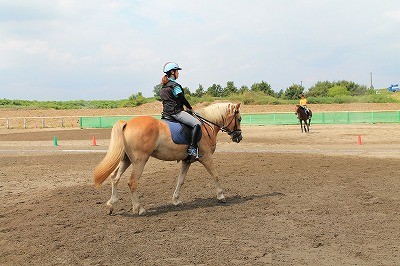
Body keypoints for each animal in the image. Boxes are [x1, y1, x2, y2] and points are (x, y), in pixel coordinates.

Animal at [94, 102, 244, 214]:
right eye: (239, 119)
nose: (239, 137)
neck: (207, 125)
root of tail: (127, 123)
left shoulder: (187, 161)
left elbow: (180, 181)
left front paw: (176, 200)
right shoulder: (206, 158)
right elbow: (215, 175)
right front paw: (221, 196)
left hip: (127, 160)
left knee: (115, 177)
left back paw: (111, 204)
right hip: (139, 160)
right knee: (132, 182)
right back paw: (139, 209)